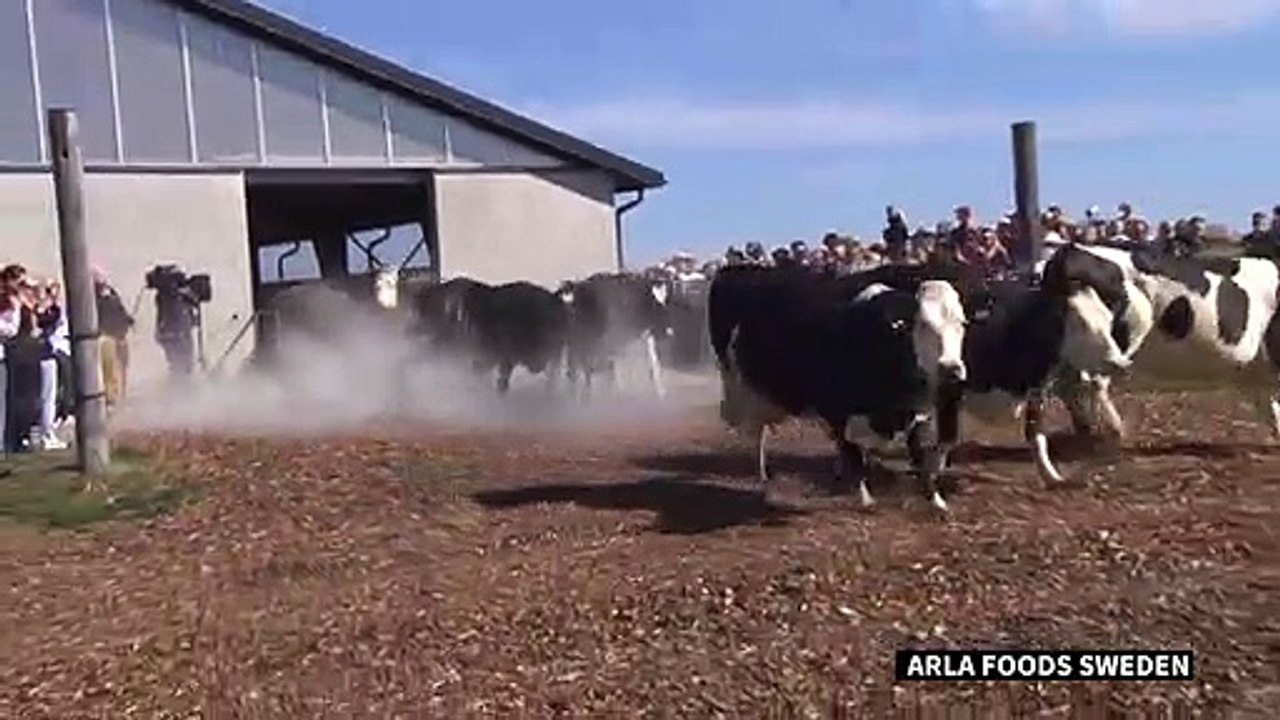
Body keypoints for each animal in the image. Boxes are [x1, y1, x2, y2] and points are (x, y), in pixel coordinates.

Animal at [708, 264, 968, 513]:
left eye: (961, 324)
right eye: (923, 324)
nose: (952, 369)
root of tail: (739, 268)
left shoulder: (915, 413)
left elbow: (920, 457)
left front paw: (936, 500)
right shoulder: (834, 409)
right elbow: (852, 453)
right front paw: (865, 498)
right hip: (736, 384)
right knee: (753, 431)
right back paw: (761, 474)